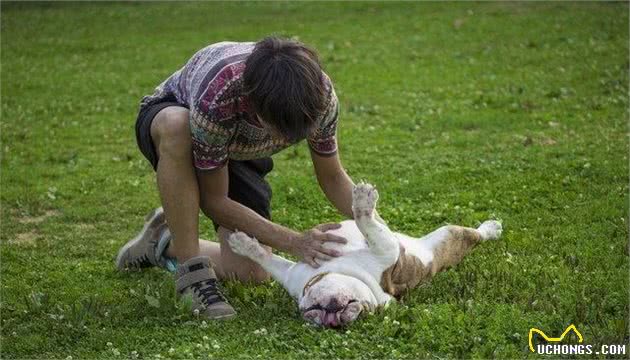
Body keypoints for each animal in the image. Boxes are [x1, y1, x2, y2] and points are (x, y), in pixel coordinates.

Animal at [227, 184, 504, 328]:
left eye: (363, 311)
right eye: (310, 312)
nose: (333, 321)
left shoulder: (385, 250)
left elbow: (368, 224)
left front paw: (362, 201)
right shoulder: (290, 275)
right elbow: (267, 259)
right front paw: (243, 244)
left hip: (447, 236)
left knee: (476, 234)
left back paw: (492, 228)